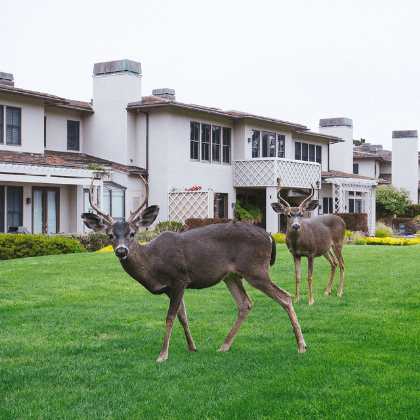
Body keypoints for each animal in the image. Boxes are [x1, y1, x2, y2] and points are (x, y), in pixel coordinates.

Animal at [81, 174, 308, 360]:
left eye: (132, 233)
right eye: (110, 235)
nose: (121, 251)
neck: (152, 265)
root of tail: (270, 236)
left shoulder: (179, 278)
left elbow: (170, 317)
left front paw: (163, 355)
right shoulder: (171, 287)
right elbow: (183, 316)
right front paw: (192, 348)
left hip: (255, 269)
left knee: (285, 297)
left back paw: (301, 346)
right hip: (231, 275)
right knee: (245, 303)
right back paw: (224, 346)